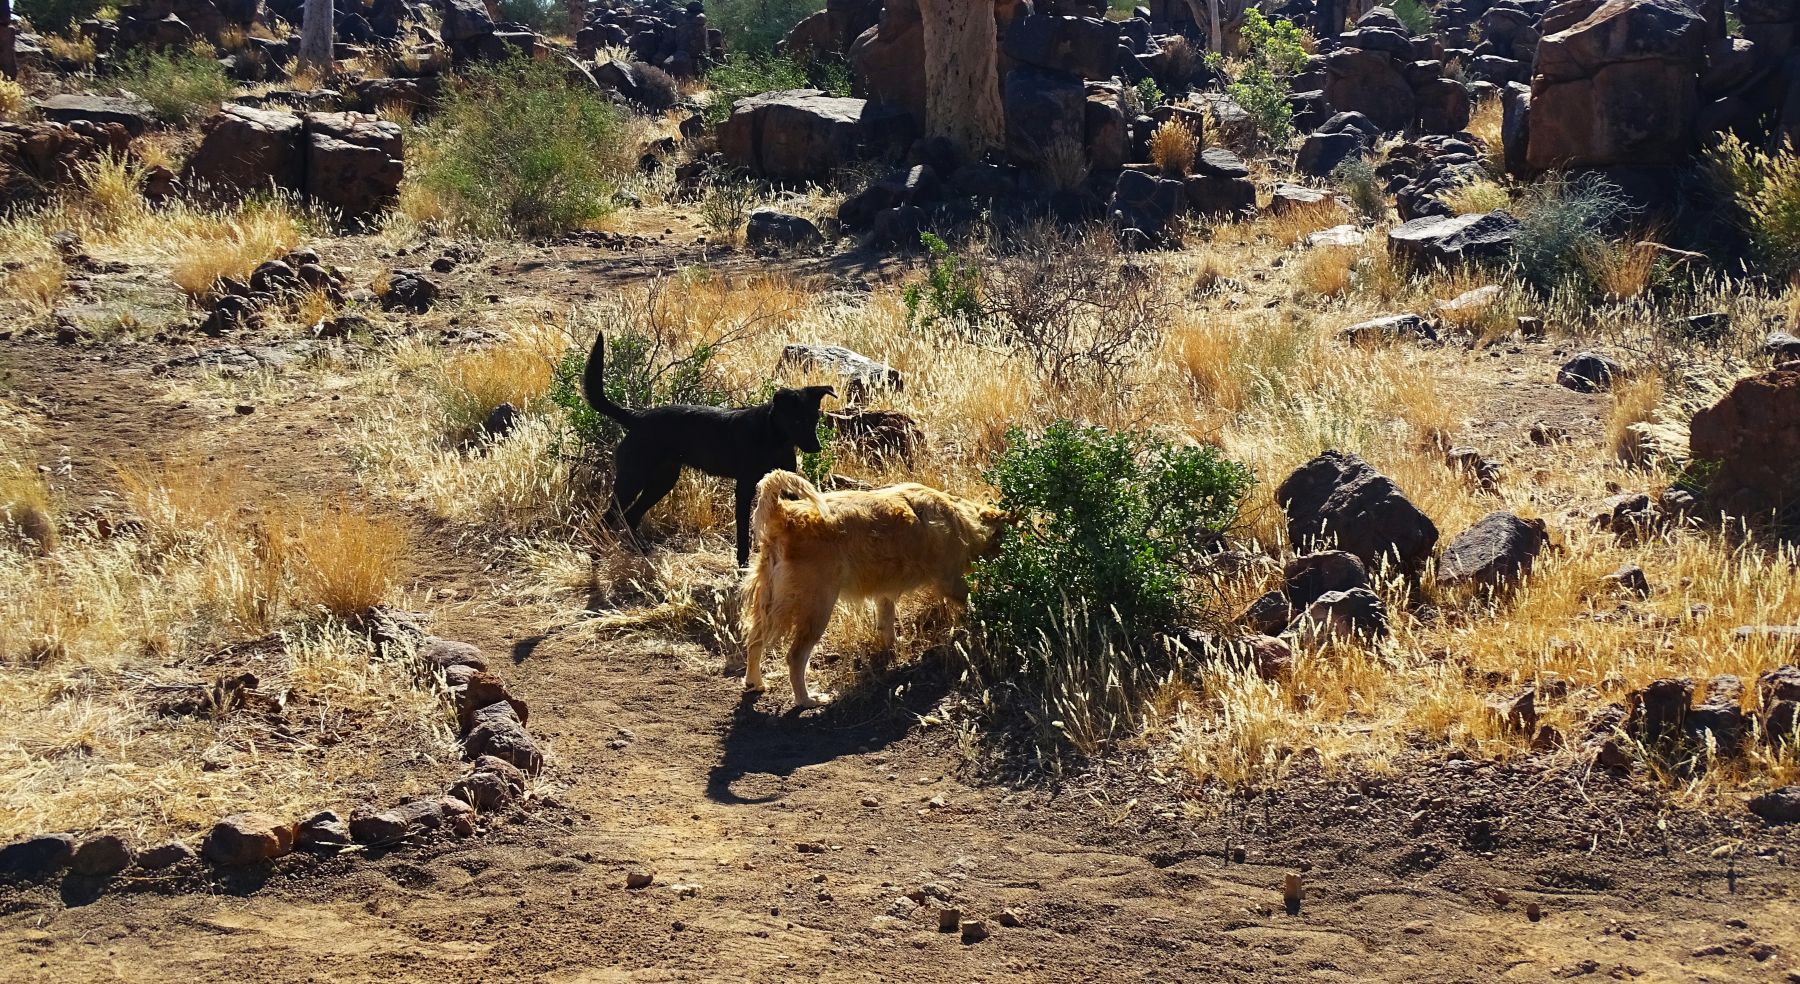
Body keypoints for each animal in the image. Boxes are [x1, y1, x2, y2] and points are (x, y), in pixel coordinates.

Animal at [583, 332, 835, 564]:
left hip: (662, 480)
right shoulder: (744, 488)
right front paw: (742, 567)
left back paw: (640, 553)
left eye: (814, 420)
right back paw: (597, 555)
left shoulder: (788, 482)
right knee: (607, 518)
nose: (816, 447)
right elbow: (742, 535)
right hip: (633, 479)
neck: (773, 438)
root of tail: (637, 417)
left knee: (631, 517)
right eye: (797, 421)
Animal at [734, 471, 1008, 708]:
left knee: (754, 642)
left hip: (769, 604)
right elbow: (974, 603)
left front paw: (893, 649)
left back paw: (755, 682)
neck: (960, 518)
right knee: (795, 657)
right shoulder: (951, 582)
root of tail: (783, 512)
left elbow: (886, 625)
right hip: (816, 608)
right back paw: (807, 699)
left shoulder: (884, 594)